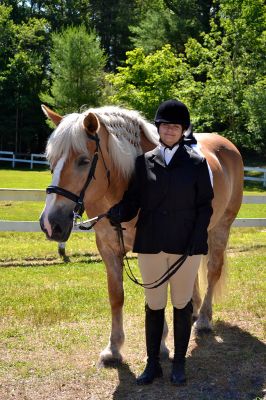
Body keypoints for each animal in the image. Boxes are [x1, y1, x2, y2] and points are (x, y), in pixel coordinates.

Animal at [39, 104, 243, 364]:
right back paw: (194, 311)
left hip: (221, 228)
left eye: (84, 161)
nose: (49, 223)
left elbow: (157, 295)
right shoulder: (108, 249)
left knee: (213, 270)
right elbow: (116, 295)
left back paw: (204, 320)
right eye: (51, 160)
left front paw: (161, 346)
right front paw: (113, 348)